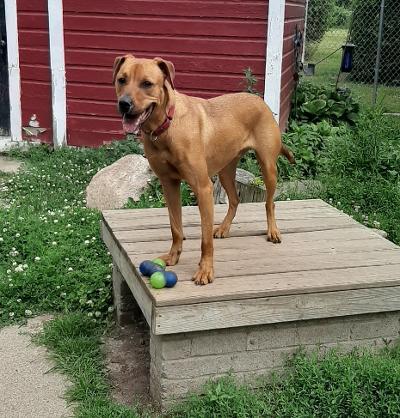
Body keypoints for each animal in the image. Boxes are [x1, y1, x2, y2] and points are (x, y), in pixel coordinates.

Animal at [112, 54, 294, 284]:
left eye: (147, 83)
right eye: (121, 80)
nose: (124, 104)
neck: (165, 126)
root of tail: (260, 101)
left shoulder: (203, 188)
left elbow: (205, 239)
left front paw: (206, 270)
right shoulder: (169, 184)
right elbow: (175, 227)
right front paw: (173, 256)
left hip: (268, 167)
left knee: (270, 203)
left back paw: (273, 231)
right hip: (225, 171)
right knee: (235, 199)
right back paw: (224, 228)